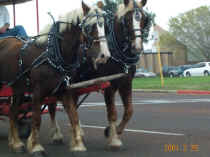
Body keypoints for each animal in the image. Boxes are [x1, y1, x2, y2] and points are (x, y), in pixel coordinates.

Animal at [0, 1, 110, 157]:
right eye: (89, 27)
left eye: (104, 26)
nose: (104, 56)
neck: (52, 54)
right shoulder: (38, 92)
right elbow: (37, 119)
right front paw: (36, 147)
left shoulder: (65, 90)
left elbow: (73, 116)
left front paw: (78, 145)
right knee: (13, 112)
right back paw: (16, 143)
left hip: (18, 88)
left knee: (12, 112)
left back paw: (15, 143)